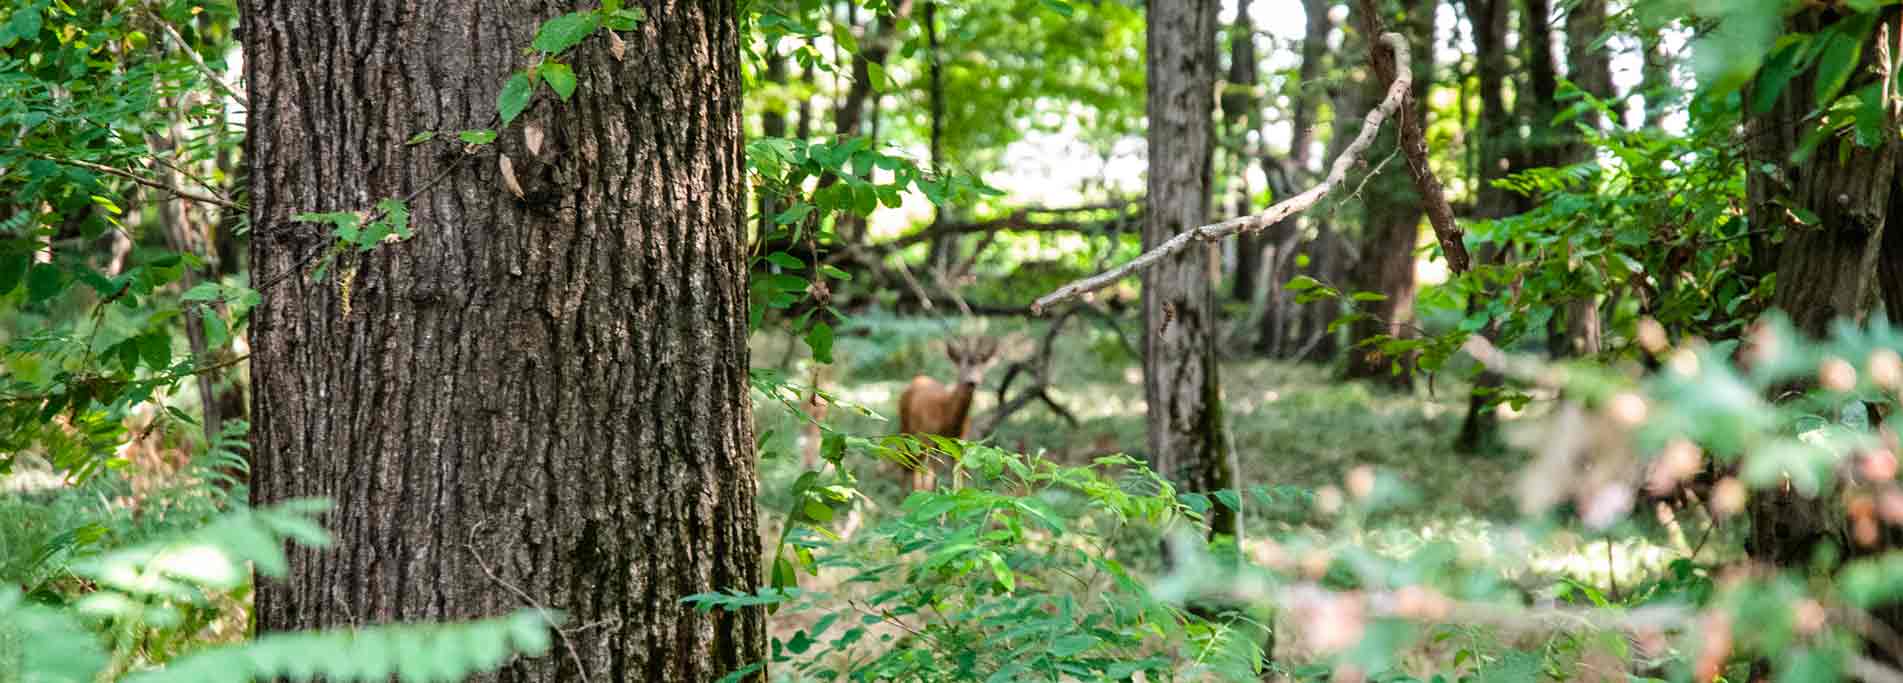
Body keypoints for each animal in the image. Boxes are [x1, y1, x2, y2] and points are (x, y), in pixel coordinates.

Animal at [894, 334, 1004, 490]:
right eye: (961, 366)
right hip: (908, 429)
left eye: (981, 366)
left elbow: (958, 480)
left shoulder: (960, 442)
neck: (947, 418)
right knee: (907, 464)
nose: (972, 381)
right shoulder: (928, 436)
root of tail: (918, 378)